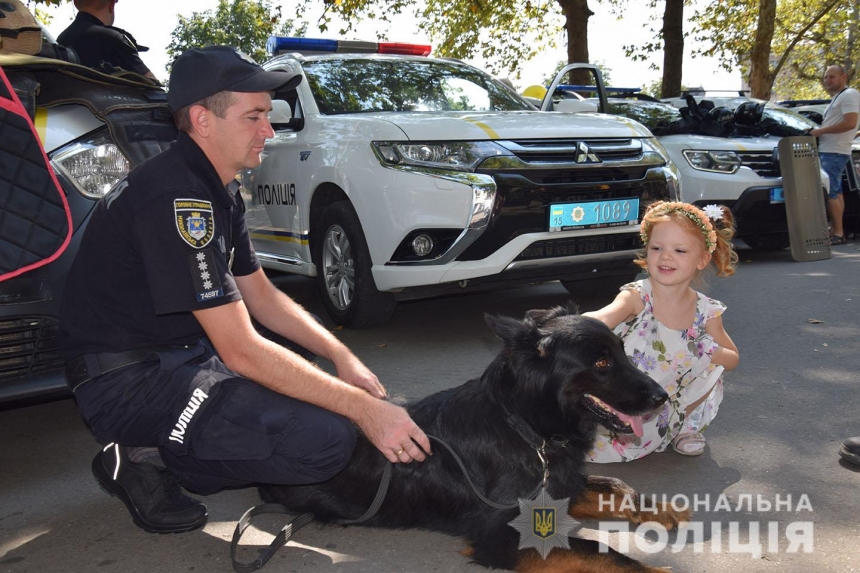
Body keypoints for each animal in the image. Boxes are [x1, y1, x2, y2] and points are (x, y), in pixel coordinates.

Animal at [260, 306, 692, 568]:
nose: (662, 397)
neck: (525, 427)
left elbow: (615, 484)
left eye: (622, 352)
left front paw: (657, 508)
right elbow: (604, 553)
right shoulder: (502, 534)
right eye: (601, 363)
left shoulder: (559, 486)